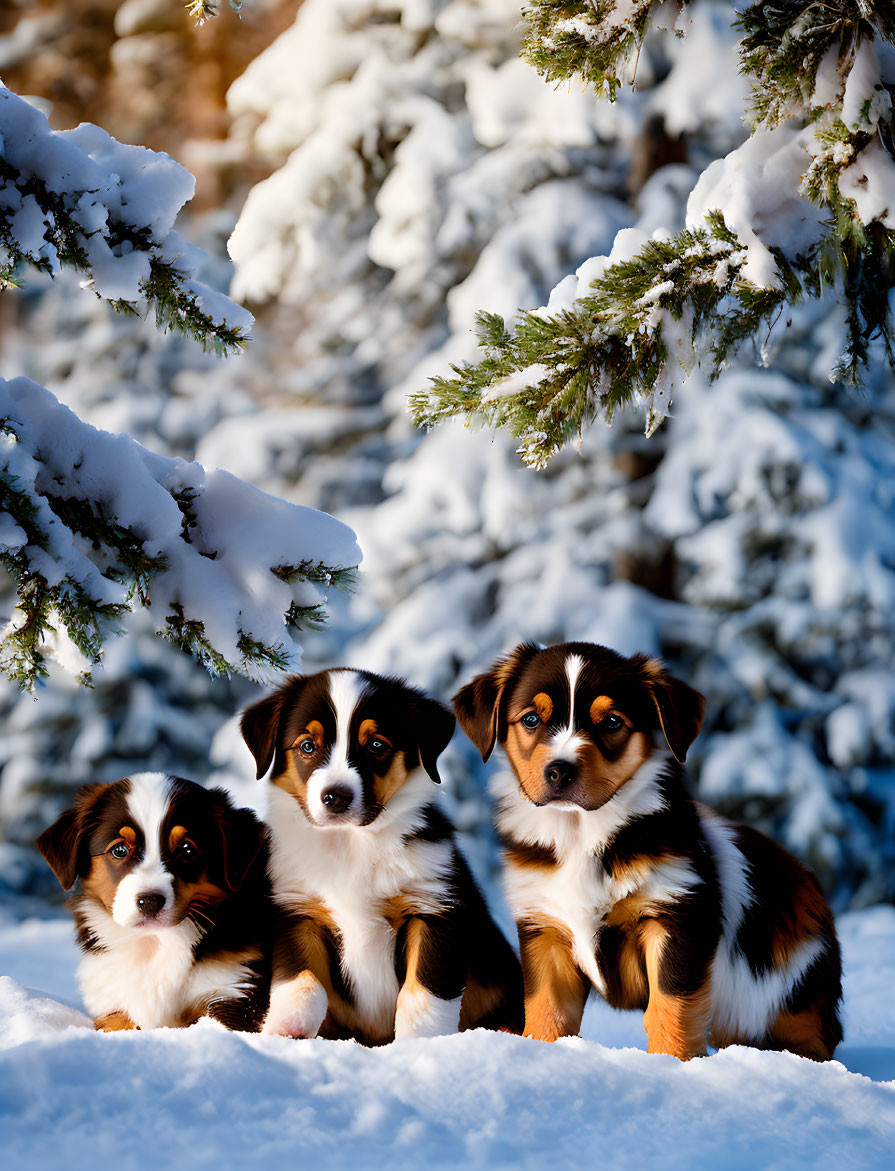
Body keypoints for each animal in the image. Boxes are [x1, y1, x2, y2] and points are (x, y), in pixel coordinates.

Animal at [35, 777, 272, 1035]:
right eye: (119, 850)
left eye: (187, 848)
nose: (150, 902)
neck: (154, 942)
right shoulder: (111, 1000)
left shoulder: (233, 989)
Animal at [241, 669, 527, 1044]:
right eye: (307, 746)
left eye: (377, 745)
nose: (335, 797)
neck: (352, 845)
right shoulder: (297, 911)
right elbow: (303, 983)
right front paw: (284, 1030)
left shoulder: (433, 910)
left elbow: (421, 995)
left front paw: (418, 1044)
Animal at [456, 641, 843, 1063]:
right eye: (530, 719)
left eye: (611, 722)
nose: (559, 771)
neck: (580, 834)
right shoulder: (545, 928)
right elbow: (546, 1011)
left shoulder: (677, 915)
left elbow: (670, 1007)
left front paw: (668, 1065)